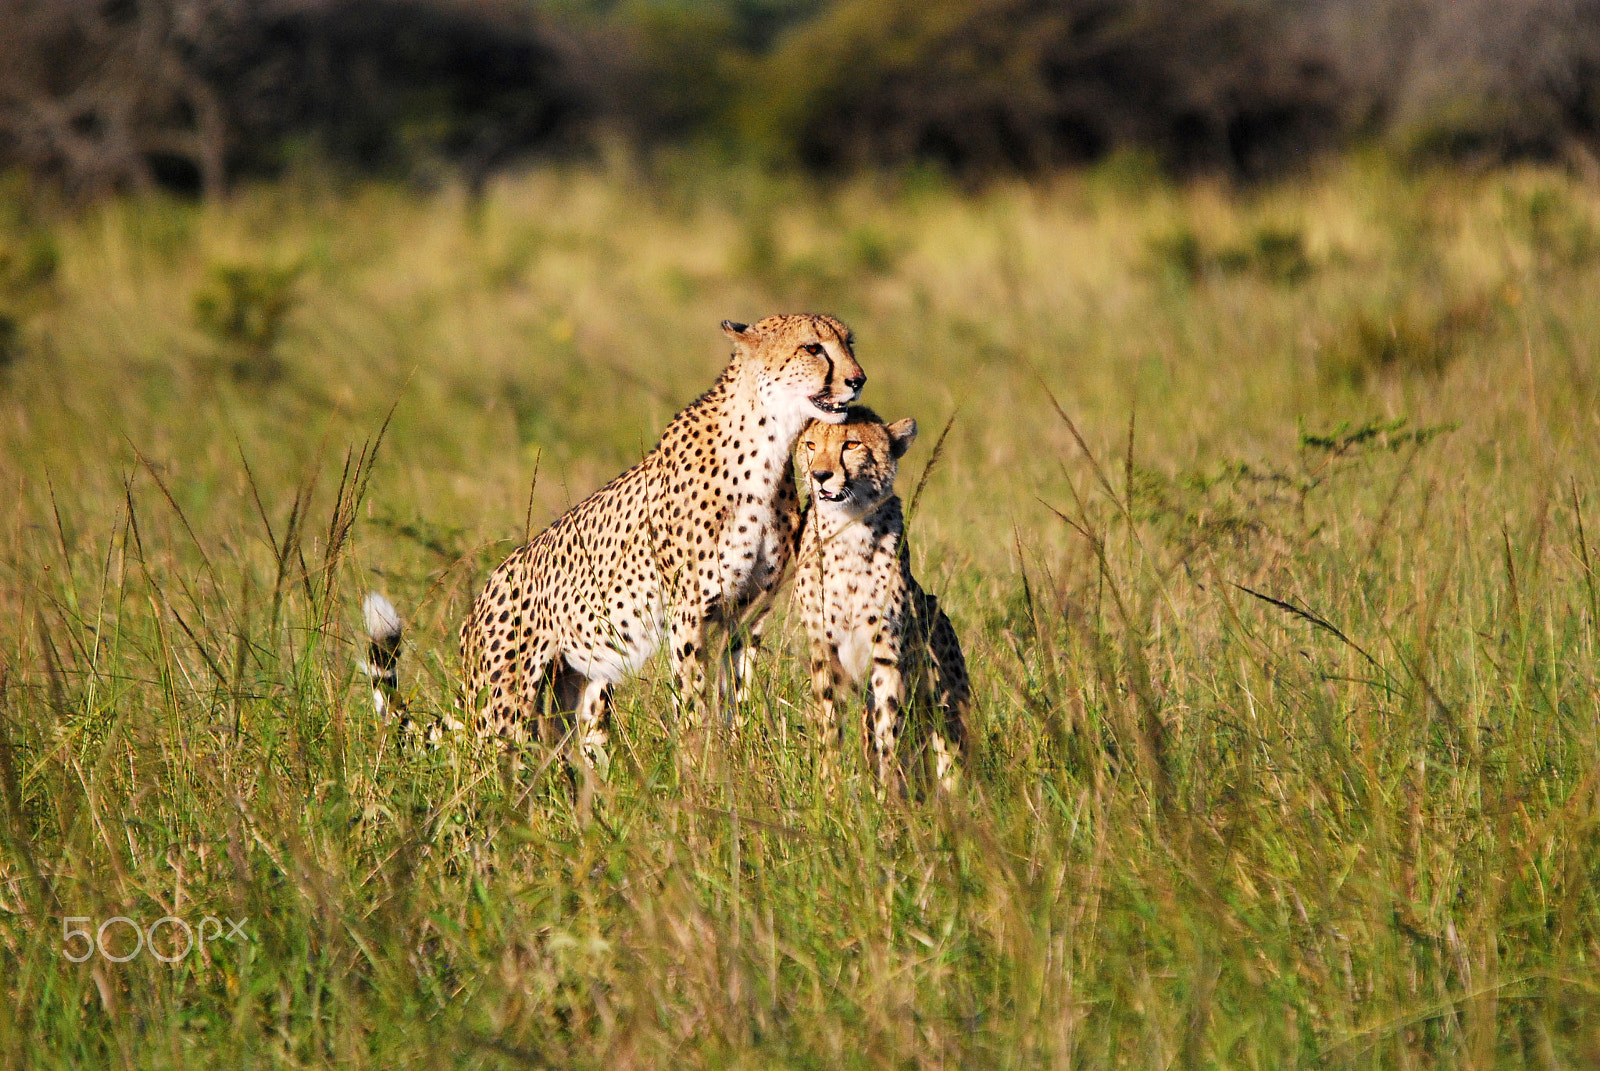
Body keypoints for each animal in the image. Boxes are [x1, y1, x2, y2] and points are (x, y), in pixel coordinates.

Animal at [366, 314, 866, 775]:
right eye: (813, 348)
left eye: (849, 342)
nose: (857, 380)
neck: (770, 442)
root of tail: (481, 598)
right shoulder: (689, 611)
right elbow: (694, 701)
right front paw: (699, 768)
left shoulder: (746, 614)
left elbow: (734, 697)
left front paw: (738, 762)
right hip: (504, 703)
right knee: (484, 764)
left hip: (584, 683)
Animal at [793, 406, 970, 794]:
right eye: (811, 444)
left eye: (851, 444)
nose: (820, 475)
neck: (849, 527)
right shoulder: (823, 650)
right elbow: (830, 727)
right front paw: (831, 792)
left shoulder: (887, 654)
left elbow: (889, 731)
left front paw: (888, 797)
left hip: (946, 704)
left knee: (951, 757)